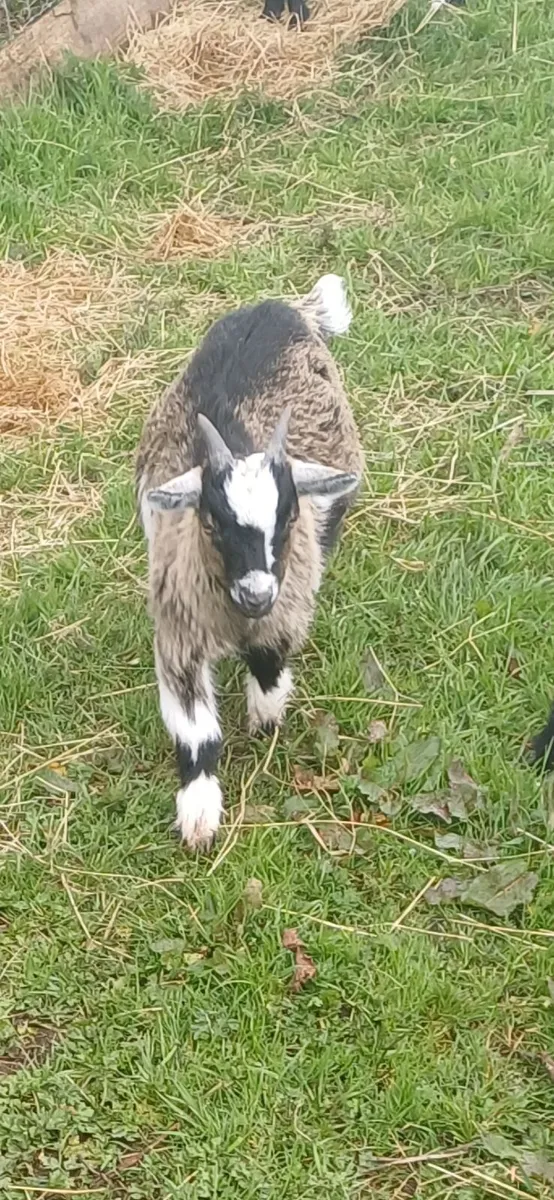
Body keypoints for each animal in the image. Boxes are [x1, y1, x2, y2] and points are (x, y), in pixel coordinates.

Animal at [136, 274, 363, 850]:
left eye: (289, 518)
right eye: (212, 522)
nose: (256, 593)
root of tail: (280, 306)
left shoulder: (287, 606)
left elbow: (268, 663)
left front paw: (266, 714)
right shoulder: (179, 636)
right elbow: (196, 732)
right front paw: (199, 815)